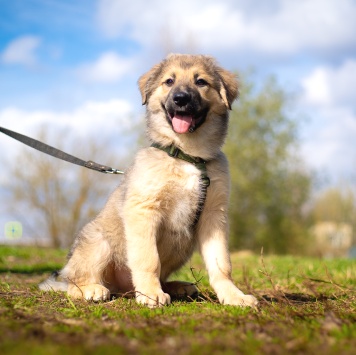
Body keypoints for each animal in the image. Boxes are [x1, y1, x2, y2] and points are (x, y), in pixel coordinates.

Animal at [40, 54, 258, 310]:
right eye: (169, 81)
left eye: (201, 81)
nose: (180, 98)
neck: (187, 155)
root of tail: (123, 288)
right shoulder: (144, 210)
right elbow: (148, 259)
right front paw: (151, 293)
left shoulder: (214, 215)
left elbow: (221, 263)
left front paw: (233, 295)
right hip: (99, 243)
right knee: (74, 282)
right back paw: (92, 289)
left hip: (182, 247)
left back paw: (176, 286)